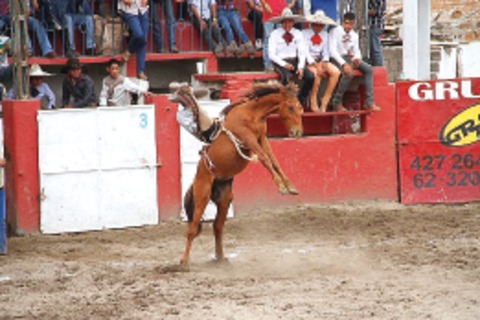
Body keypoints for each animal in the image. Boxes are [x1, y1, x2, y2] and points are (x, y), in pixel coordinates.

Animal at [171, 81, 302, 268]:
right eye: (290, 107)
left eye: (300, 108)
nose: (297, 132)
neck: (252, 113)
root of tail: (196, 180)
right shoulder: (249, 139)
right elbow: (265, 159)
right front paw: (282, 187)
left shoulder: (262, 138)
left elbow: (273, 160)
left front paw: (290, 186)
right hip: (202, 195)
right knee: (192, 228)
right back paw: (183, 262)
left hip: (224, 198)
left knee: (218, 226)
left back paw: (220, 257)